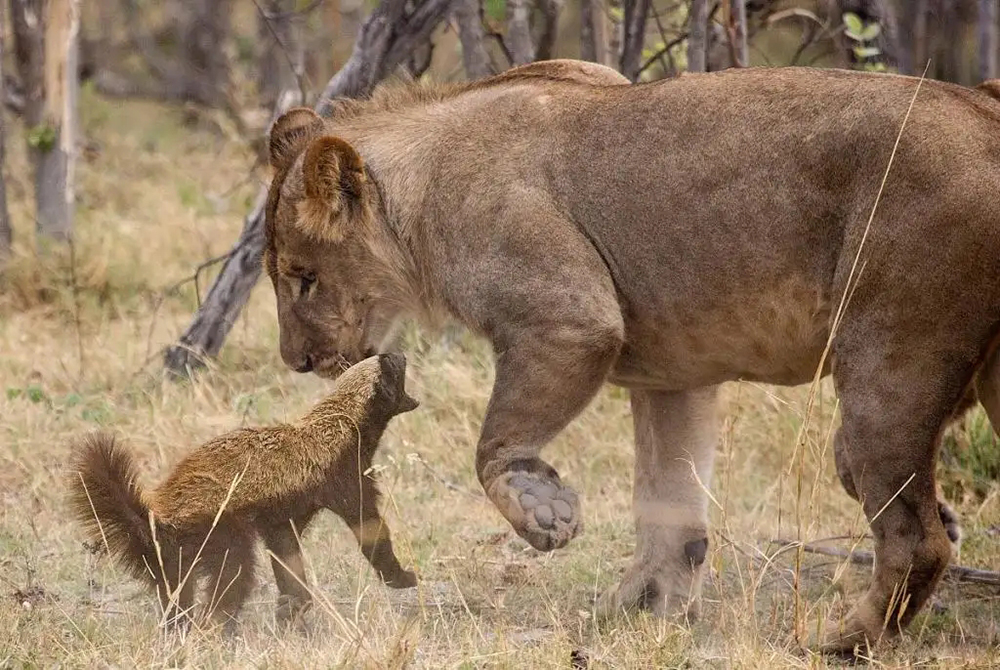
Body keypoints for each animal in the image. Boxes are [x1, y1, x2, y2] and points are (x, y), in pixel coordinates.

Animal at [66, 354, 418, 632]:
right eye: (392, 366)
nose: (400, 352)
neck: (342, 421)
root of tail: (153, 516)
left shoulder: (282, 516)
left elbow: (286, 555)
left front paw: (292, 607)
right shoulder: (345, 476)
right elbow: (369, 528)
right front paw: (402, 577)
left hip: (174, 561)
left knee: (177, 595)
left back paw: (181, 630)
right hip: (219, 530)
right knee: (232, 574)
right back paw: (217, 627)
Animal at [256, 60, 1000, 652]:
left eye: (302, 277)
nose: (296, 361)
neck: (420, 193)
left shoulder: (570, 319)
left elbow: (494, 445)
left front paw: (544, 513)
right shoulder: (675, 372)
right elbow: (669, 508)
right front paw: (636, 611)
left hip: (889, 357)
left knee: (913, 537)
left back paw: (840, 641)